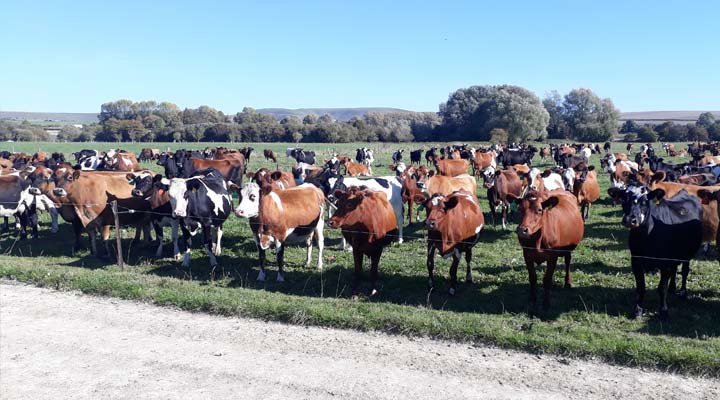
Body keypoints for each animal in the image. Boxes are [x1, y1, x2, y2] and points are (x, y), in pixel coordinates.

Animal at [608, 186, 704, 320]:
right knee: (675, 270)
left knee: (685, 271)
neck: (647, 236)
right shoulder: (636, 261)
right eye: (624, 199)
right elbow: (641, 287)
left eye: (645, 201)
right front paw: (638, 310)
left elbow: (662, 288)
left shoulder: (665, 263)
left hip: (688, 253)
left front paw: (663, 311)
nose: (630, 220)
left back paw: (683, 293)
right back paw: (672, 288)